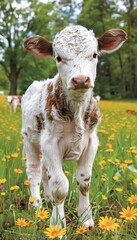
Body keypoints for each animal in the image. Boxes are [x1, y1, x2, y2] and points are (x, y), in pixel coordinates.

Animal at [22, 24, 127, 229]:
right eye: (58, 57)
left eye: (94, 54)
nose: (80, 80)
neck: (76, 110)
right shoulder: (50, 143)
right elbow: (60, 185)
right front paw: (57, 224)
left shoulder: (92, 142)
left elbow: (84, 180)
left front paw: (86, 219)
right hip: (29, 140)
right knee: (35, 171)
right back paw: (36, 203)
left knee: (45, 172)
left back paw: (47, 199)